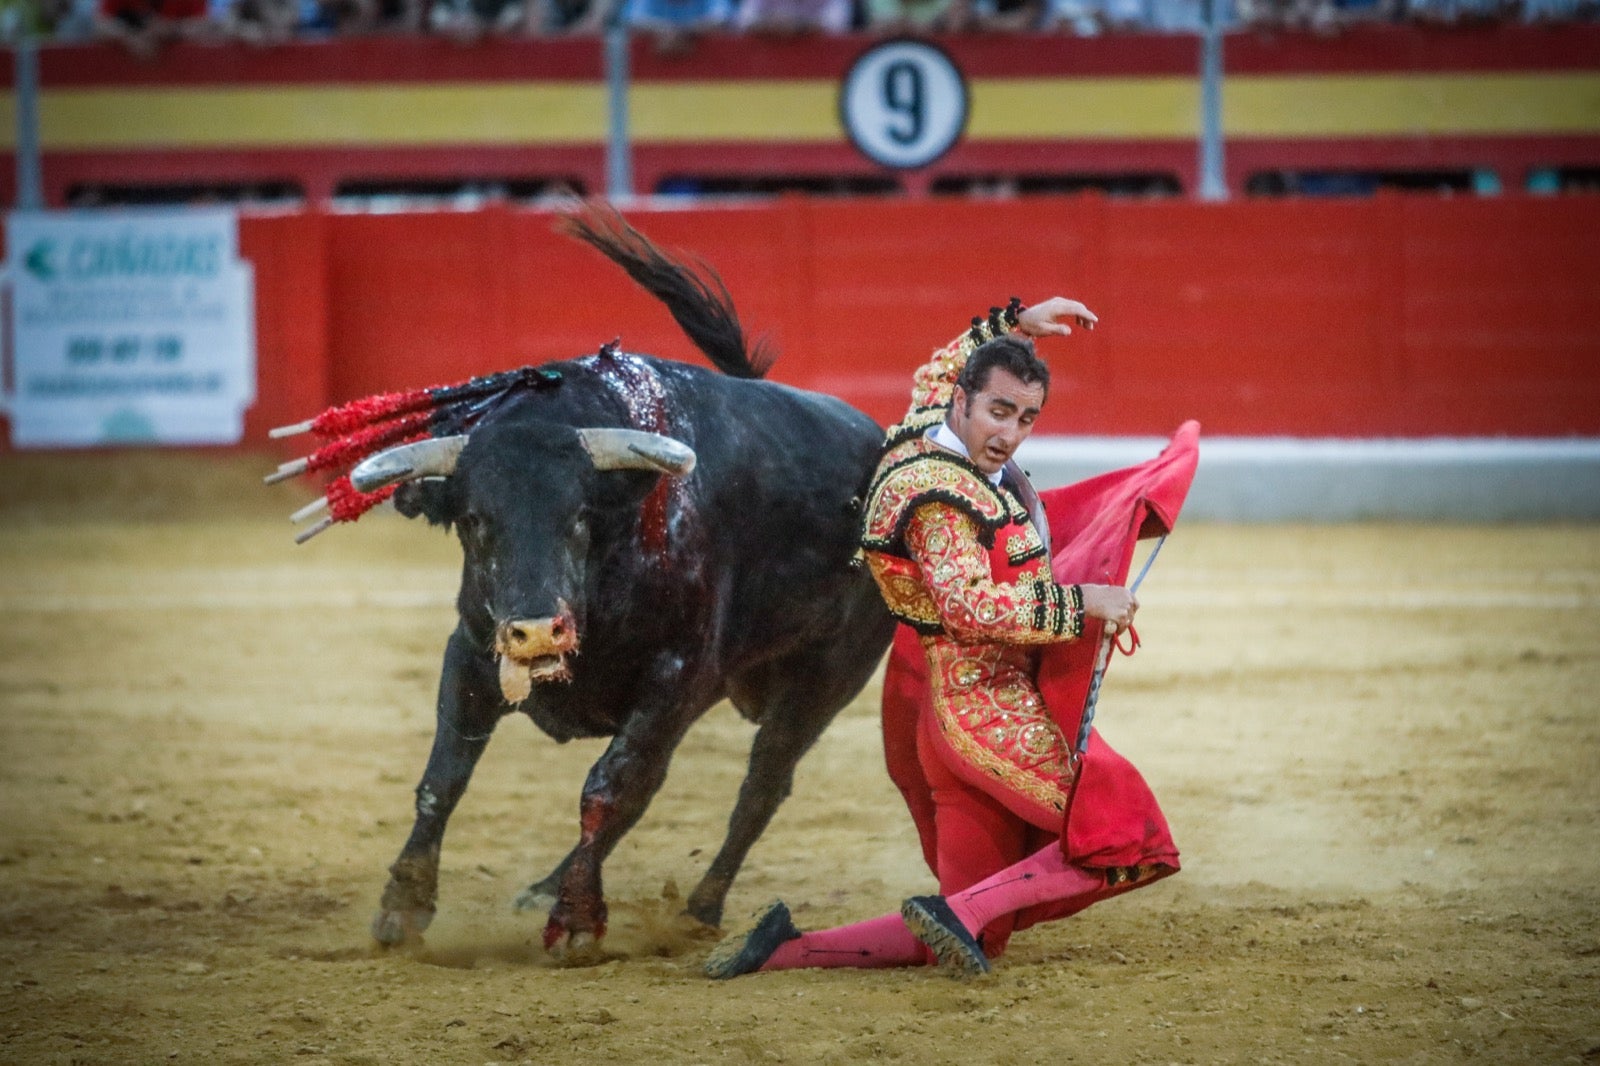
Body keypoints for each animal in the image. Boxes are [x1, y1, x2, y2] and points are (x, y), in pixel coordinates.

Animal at [276, 208, 902, 953]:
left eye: (580, 517)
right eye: (475, 520)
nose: (537, 631)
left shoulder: (677, 676)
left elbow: (608, 787)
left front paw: (576, 923)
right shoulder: (471, 650)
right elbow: (444, 777)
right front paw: (403, 907)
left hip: (824, 681)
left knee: (760, 784)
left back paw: (697, 908)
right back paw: (548, 890)